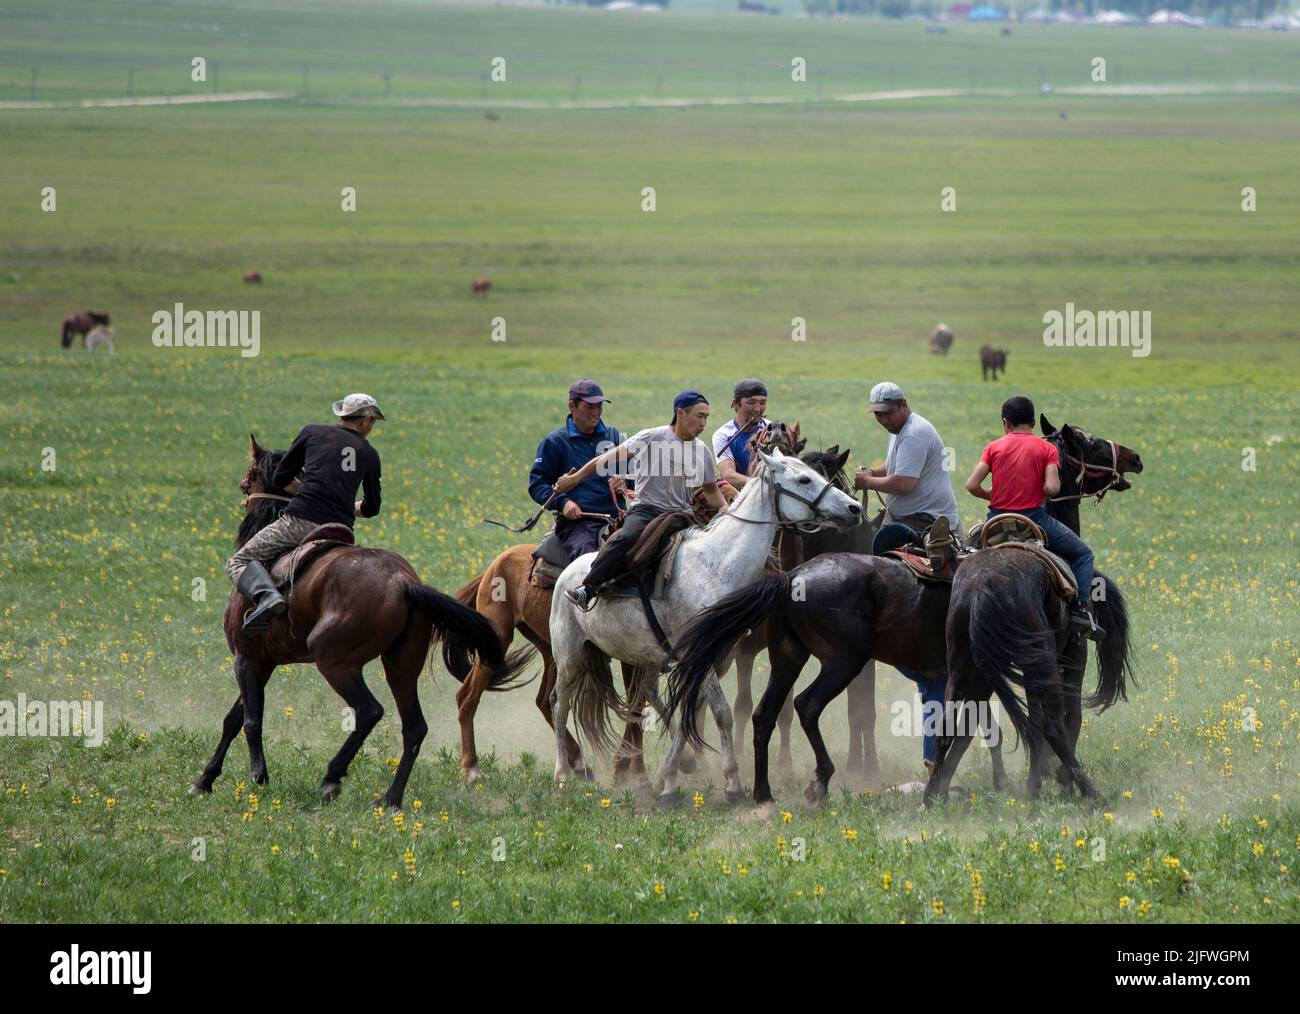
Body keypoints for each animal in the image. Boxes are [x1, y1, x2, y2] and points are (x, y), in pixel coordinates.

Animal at [548, 447, 863, 806]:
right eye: (804, 479)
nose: (854, 509)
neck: (715, 566)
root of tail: (568, 575)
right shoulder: (701, 655)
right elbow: (721, 713)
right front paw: (733, 784)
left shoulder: (714, 656)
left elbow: (692, 708)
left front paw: (671, 776)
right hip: (570, 655)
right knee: (559, 704)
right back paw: (561, 774)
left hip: (647, 657)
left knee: (650, 694)